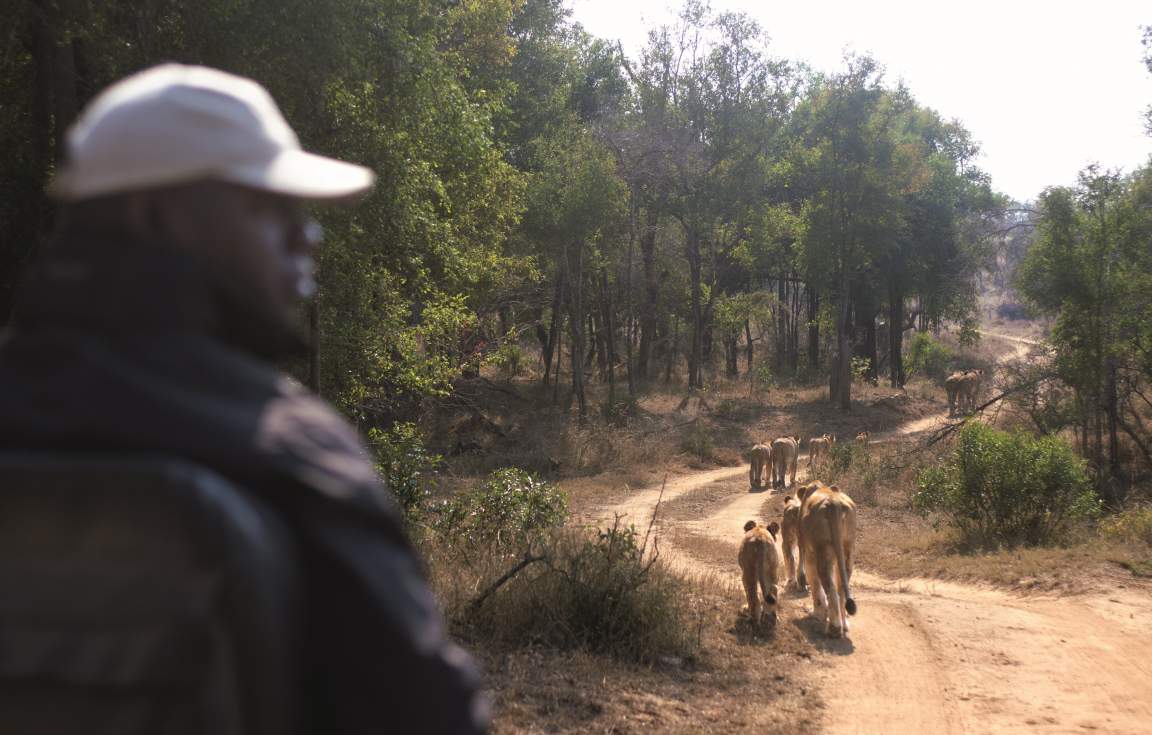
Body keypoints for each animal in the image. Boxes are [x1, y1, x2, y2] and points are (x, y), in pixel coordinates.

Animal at [801, 483, 857, 640]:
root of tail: (834, 504)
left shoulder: (808, 553)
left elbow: (814, 583)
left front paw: (817, 614)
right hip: (847, 547)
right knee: (841, 588)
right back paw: (844, 625)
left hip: (822, 548)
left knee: (831, 589)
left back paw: (834, 629)